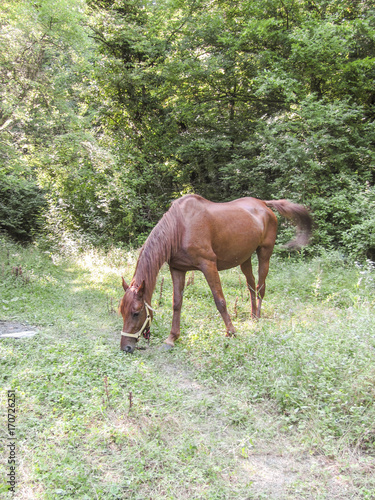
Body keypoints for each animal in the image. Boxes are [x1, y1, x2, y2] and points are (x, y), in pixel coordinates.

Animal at [119, 193, 312, 354]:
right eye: (121, 311)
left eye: (136, 312)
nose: (126, 347)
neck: (180, 227)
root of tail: (263, 203)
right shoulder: (178, 269)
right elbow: (177, 303)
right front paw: (171, 338)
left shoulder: (208, 265)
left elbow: (220, 301)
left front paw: (231, 332)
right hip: (245, 258)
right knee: (251, 285)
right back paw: (252, 317)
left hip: (265, 253)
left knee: (260, 287)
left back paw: (257, 319)